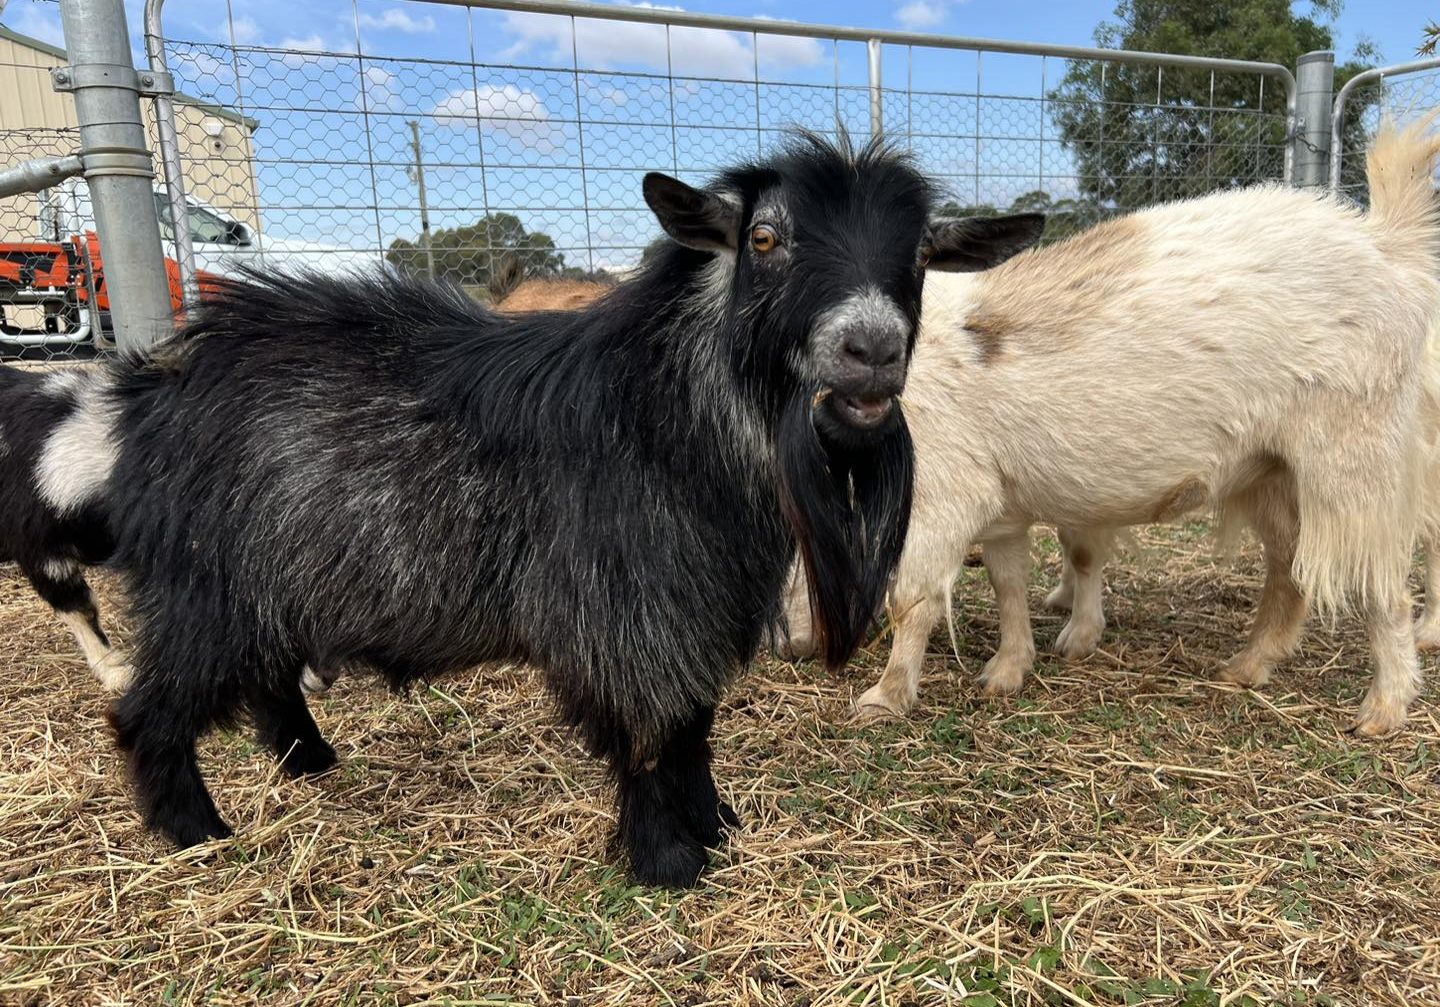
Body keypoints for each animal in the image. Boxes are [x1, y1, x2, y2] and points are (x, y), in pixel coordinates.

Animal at [53, 136, 1036, 887]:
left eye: (919, 257)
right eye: (764, 236)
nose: (872, 348)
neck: (665, 415)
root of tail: (144, 392)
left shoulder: (696, 600)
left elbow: (694, 725)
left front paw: (716, 825)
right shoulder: (624, 610)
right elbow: (651, 735)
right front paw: (669, 862)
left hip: (271, 578)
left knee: (266, 675)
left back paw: (310, 762)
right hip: (204, 586)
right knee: (150, 708)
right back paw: (195, 832)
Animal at [783, 118, 1440, 737]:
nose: (789, 645)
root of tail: (1385, 247)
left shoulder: (946, 494)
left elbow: (912, 599)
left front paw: (885, 697)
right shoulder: (1000, 504)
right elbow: (1008, 583)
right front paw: (1008, 670)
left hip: (1358, 455)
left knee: (1384, 584)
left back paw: (1384, 706)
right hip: (1270, 470)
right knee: (1289, 568)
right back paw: (1248, 666)